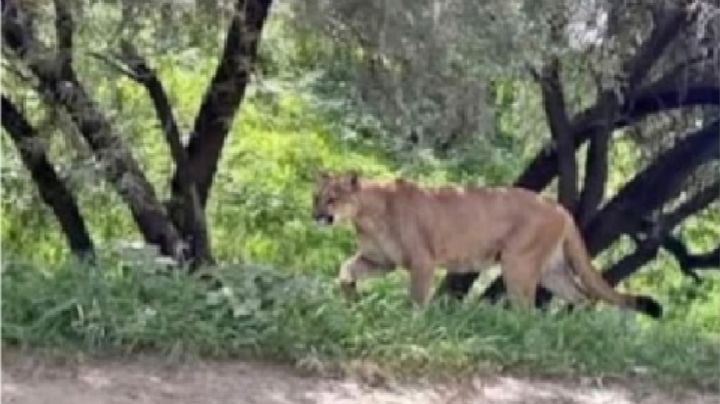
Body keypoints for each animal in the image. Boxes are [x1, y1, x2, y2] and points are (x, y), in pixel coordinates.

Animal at [312, 171, 662, 318]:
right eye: (316, 196)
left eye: (332, 198)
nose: (314, 215)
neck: (366, 214)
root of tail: (560, 207)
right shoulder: (381, 261)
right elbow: (346, 268)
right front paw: (350, 297)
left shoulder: (423, 262)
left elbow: (417, 299)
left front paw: (410, 325)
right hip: (551, 270)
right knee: (584, 297)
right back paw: (570, 330)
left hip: (517, 263)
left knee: (527, 309)